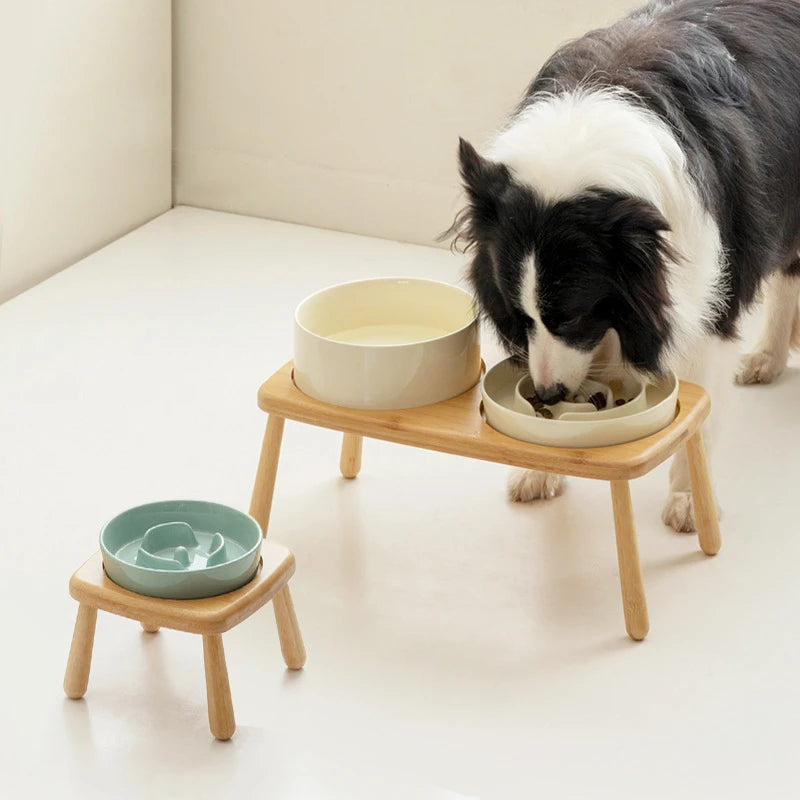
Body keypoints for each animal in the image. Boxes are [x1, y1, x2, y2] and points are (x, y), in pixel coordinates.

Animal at [446, 0, 800, 536]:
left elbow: (698, 402)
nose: (548, 392)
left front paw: (689, 503)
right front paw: (538, 466)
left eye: (573, 315)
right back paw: (767, 360)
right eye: (518, 316)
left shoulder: (707, 267)